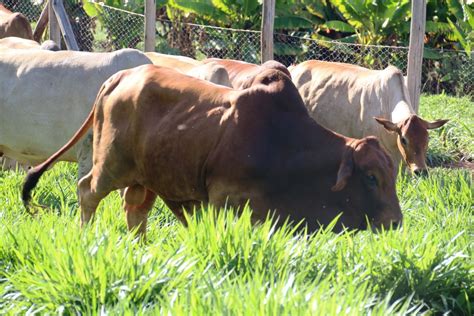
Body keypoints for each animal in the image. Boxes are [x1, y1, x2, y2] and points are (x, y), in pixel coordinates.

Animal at [21, 65, 400, 237]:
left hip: (145, 178)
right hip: (111, 164)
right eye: (370, 177)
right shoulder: (222, 199)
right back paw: (85, 235)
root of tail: (120, 75)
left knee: (135, 210)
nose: (396, 221)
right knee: (87, 191)